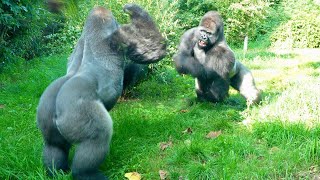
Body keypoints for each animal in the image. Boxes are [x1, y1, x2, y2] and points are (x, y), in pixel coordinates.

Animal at [37, 3, 166, 179]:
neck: (93, 31)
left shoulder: (80, 43)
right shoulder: (118, 37)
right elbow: (153, 49)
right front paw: (135, 11)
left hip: (45, 117)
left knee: (54, 146)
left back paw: (56, 171)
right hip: (78, 113)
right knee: (98, 136)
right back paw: (86, 173)